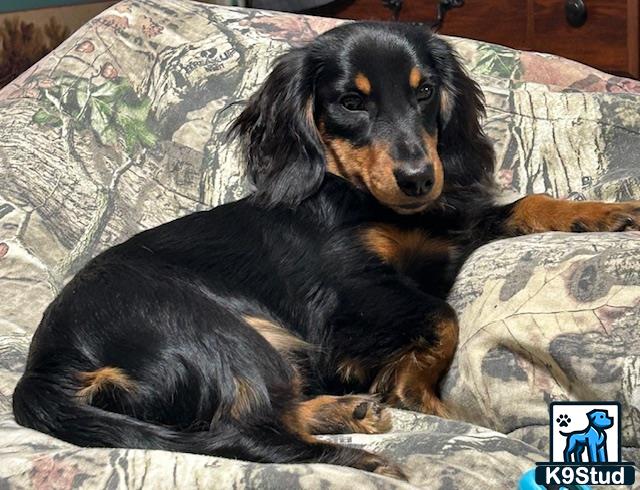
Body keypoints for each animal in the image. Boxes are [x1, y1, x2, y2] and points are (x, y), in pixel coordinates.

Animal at [11, 23, 640, 478]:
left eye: (425, 91)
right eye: (350, 103)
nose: (420, 178)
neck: (361, 200)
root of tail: (43, 368)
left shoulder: (446, 233)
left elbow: (527, 204)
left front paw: (609, 212)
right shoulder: (345, 298)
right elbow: (443, 316)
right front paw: (418, 394)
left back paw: (350, 410)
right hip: (222, 335)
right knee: (244, 433)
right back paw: (366, 457)